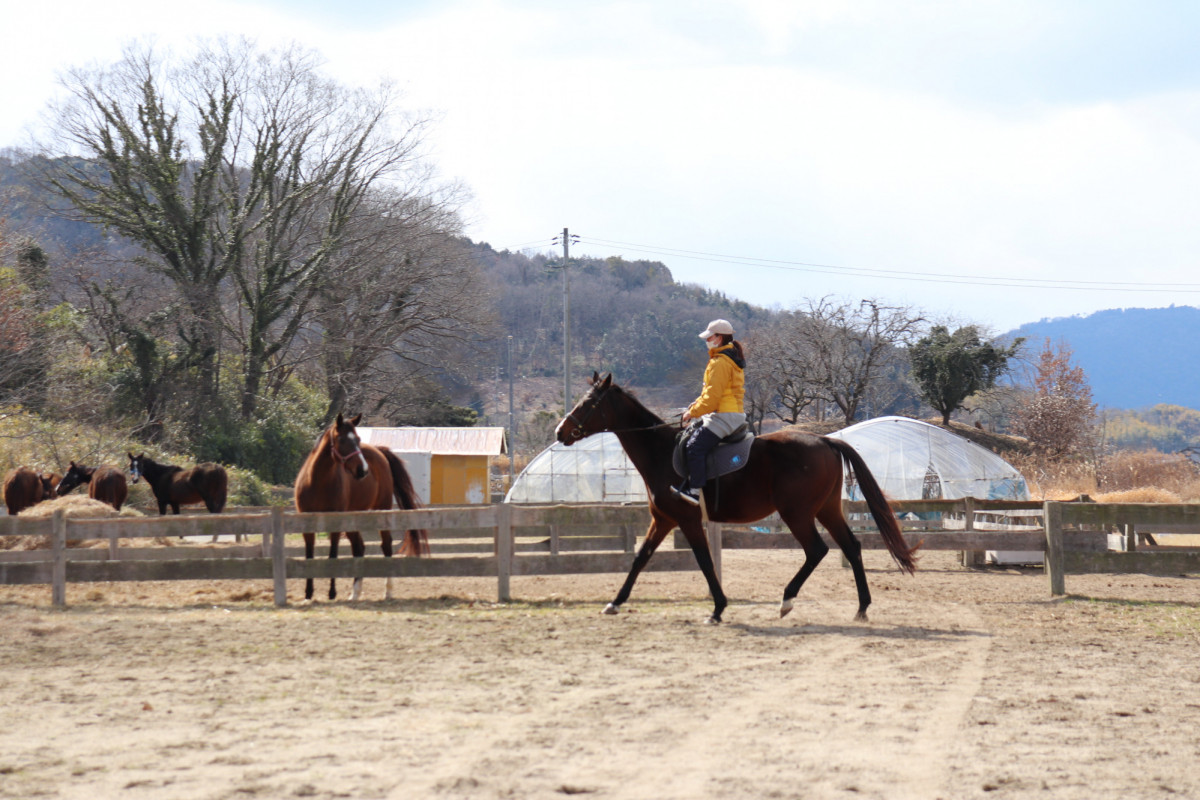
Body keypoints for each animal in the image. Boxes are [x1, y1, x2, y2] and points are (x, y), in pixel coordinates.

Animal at [292, 412, 429, 599]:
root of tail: (379, 451)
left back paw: (388, 591)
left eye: (357, 439)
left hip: (381, 511)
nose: (362, 470)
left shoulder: (336, 524)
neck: (317, 481)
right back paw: (355, 593)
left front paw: (332, 593)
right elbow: (309, 556)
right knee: (359, 548)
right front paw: (308, 595)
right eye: (342, 439)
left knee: (386, 546)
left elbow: (332, 556)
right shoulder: (307, 524)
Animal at [554, 376, 916, 623]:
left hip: (797, 514)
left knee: (817, 550)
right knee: (851, 547)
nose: (560, 432)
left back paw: (787, 601)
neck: (661, 452)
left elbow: (704, 561)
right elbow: (640, 558)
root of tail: (825, 440)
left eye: (588, 403)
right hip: (826, 510)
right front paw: (615, 602)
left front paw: (717, 608)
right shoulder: (664, 520)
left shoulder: (687, 520)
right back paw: (862, 608)